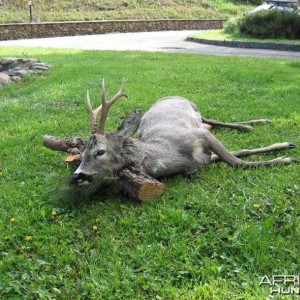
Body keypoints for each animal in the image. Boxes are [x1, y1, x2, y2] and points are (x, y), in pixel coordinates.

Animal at [72, 79, 298, 185]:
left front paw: (286, 156)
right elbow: (239, 154)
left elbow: (237, 161)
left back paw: (255, 123)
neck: (171, 155)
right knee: (210, 123)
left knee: (211, 120)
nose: (77, 175)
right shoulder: (199, 160)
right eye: (81, 154)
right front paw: (285, 149)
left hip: (196, 111)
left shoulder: (199, 136)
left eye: (100, 151)